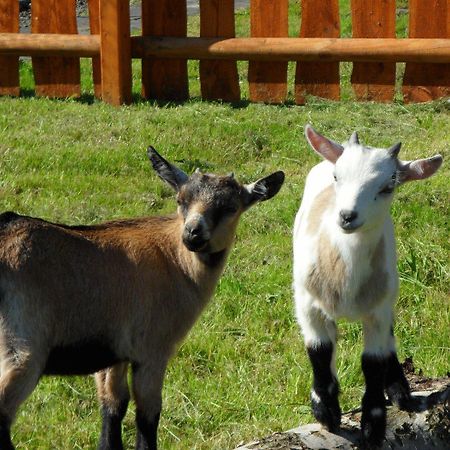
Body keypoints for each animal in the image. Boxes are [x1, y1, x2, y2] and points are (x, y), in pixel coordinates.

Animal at [0, 149, 284, 450]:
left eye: (230, 208)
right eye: (181, 200)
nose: (193, 233)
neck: (175, 260)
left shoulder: (114, 352)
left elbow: (113, 405)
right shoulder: (153, 350)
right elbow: (148, 415)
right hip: (22, 345)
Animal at [292, 125, 442, 446]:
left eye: (388, 186)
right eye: (337, 176)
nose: (347, 216)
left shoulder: (378, 310)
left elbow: (373, 362)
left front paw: (373, 425)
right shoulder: (308, 303)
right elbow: (319, 350)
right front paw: (326, 412)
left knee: (389, 339)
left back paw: (399, 390)